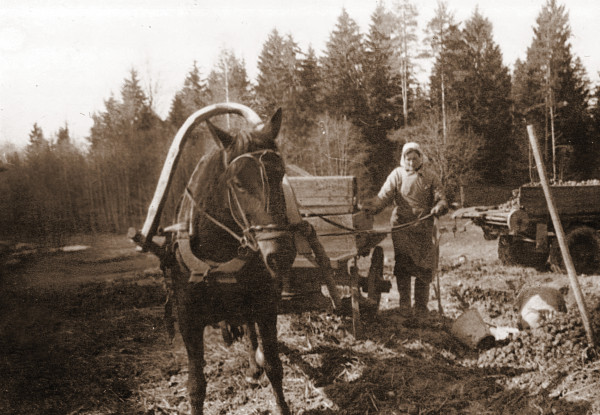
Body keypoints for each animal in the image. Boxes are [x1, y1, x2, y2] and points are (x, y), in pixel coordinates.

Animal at [165, 108, 296, 415]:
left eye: (280, 173)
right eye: (237, 183)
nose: (280, 254)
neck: (218, 256)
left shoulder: (265, 305)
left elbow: (274, 366)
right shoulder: (187, 319)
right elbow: (196, 385)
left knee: (249, 331)